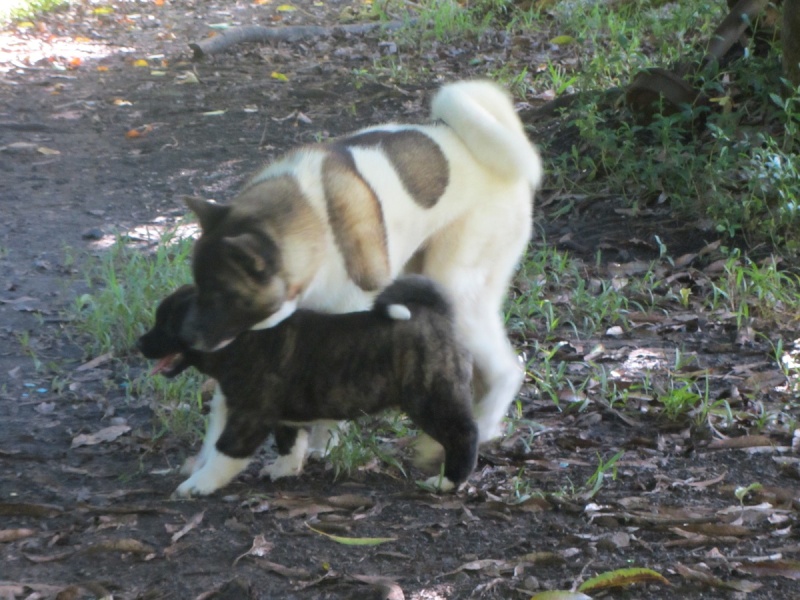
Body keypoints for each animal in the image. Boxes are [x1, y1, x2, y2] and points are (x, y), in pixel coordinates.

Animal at [138, 276, 478, 496]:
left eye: (167, 325)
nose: (140, 344)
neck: (237, 341)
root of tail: (436, 316)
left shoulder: (249, 417)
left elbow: (226, 452)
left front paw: (199, 484)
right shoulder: (279, 415)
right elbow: (290, 442)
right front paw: (284, 469)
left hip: (430, 399)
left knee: (463, 433)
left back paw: (449, 481)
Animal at [175, 78, 536, 488]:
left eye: (220, 295)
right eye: (197, 288)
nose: (184, 337)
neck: (313, 222)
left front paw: (322, 444)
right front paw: (205, 465)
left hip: (458, 285)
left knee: (507, 369)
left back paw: (482, 429)